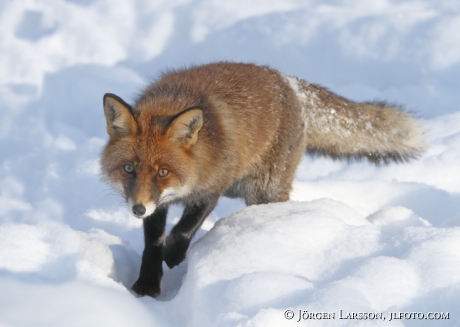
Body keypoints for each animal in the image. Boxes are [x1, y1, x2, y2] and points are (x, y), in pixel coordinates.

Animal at [99, 60, 424, 298]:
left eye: (163, 172)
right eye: (129, 169)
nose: (137, 209)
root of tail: (286, 79)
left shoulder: (213, 186)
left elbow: (182, 232)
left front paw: (174, 256)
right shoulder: (158, 204)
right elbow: (152, 246)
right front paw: (147, 286)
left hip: (264, 191)